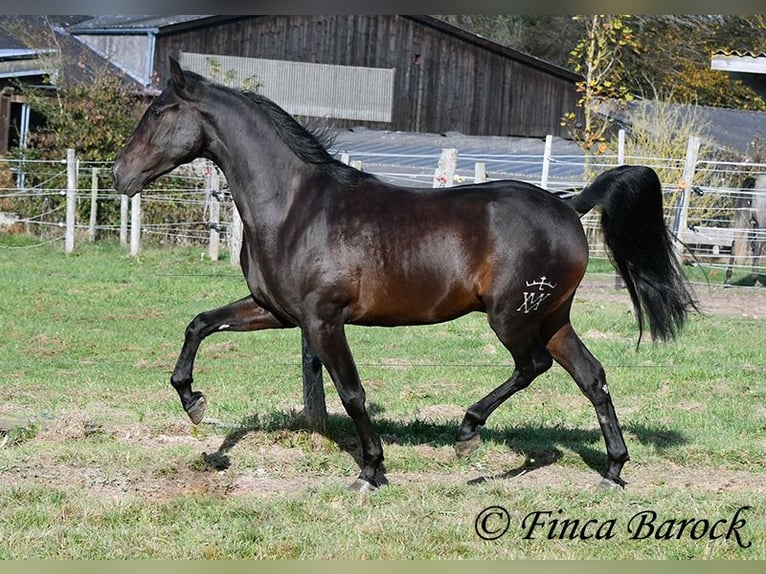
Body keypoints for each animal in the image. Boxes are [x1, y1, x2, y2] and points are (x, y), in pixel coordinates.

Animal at [111, 58, 700, 492]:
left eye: (160, 111)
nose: (119, 175)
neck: (294, 206)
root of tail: (568, 205)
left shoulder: (323, 320)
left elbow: (351, 392)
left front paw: (371, 470)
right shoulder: (278, 311)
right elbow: (199, 323)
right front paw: (194, 403)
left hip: (512, 317)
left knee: (533, 366)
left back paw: (468, 431)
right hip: (553, 316)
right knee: (592, 377)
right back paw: (613, 471)